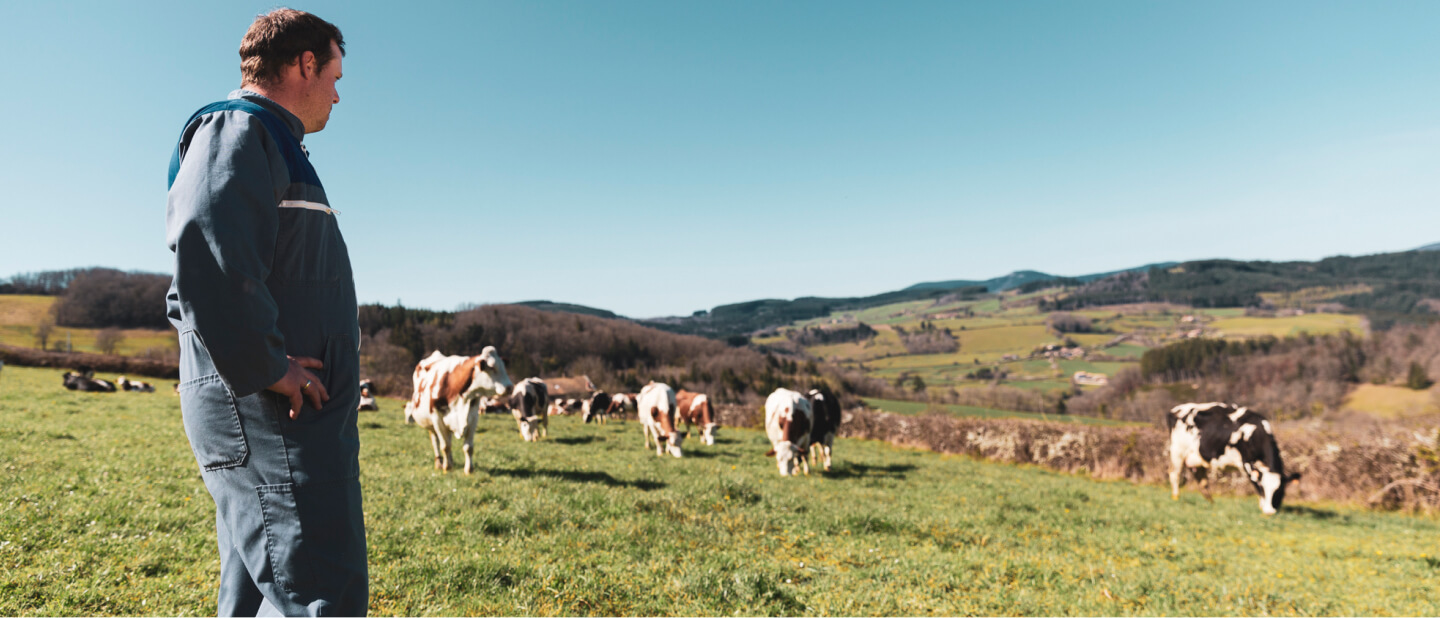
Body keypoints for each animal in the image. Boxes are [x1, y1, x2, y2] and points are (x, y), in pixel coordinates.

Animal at [1163, 403, 1301, 512]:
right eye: (1263, 488)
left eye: (1280, 490)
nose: (1269, 512)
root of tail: (1176, 409)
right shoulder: (1246, 463)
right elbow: (1254, 482)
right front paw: (1261, 506)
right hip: (1177, 451)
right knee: (1174, 474)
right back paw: (1176, 498)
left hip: (1197, 458)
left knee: (1202, 481)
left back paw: (1212, 503)